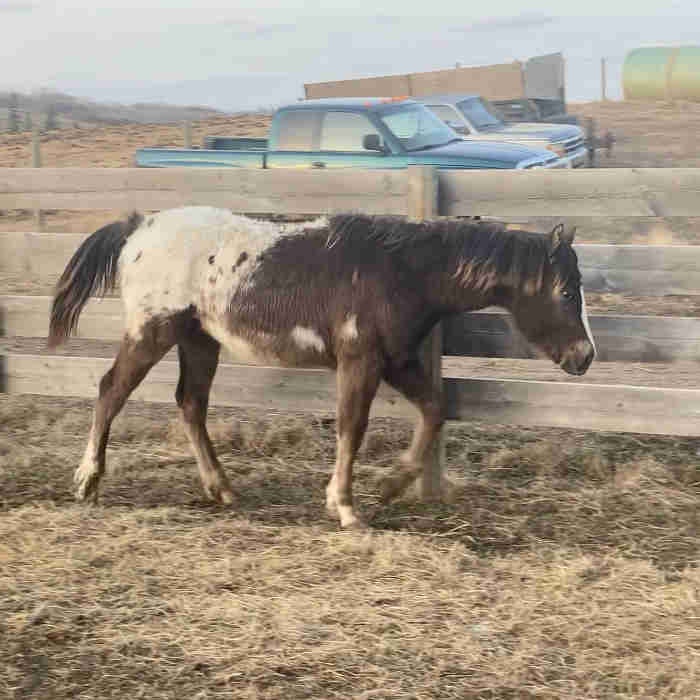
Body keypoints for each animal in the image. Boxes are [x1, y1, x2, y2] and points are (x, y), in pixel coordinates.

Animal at [48, 207, 595, 528]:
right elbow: (352, 427)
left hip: (199, 341)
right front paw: (346, 507)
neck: (400, 270)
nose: (585, 356)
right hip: (152, 331)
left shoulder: (396, 361)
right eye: (567, 292)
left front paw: (391, 485)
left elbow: (435, 409)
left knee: (190, 404)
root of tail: (137, 227)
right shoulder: (361, 361)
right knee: (111, 390)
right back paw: (88, 481)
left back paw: (221, 488)